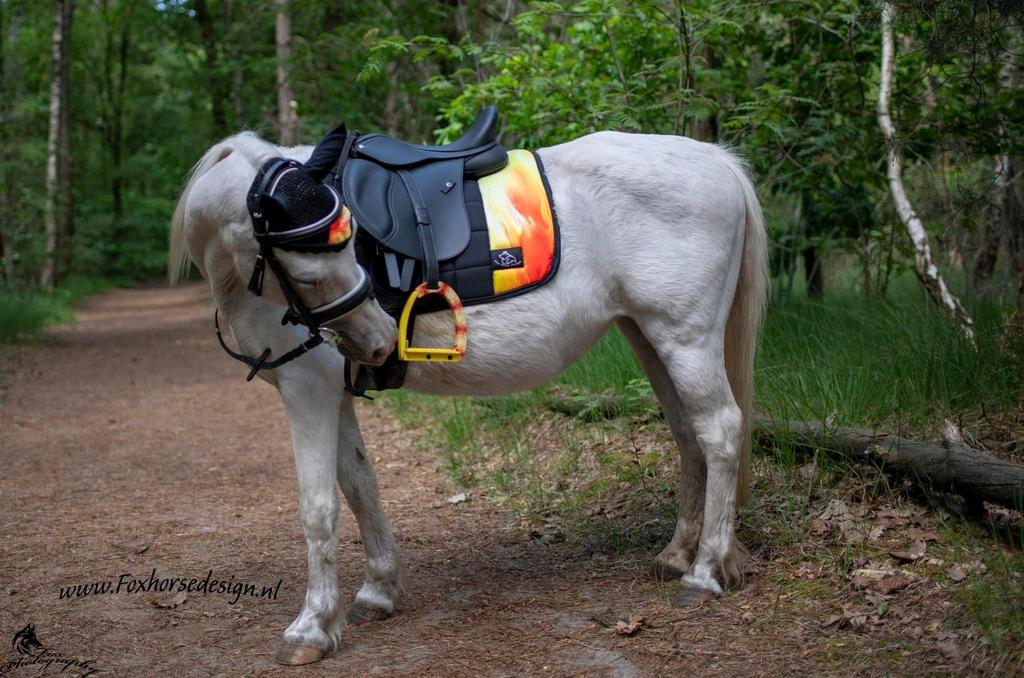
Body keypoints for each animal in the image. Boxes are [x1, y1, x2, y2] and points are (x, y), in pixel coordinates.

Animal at [169, 125, 768, 665]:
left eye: (343, 254)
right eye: (314, 271)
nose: (379, 340)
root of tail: (717, 161)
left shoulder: (307, 388)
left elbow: (319, 507)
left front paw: (312, 626)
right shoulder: (332, 392)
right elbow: (360, 486)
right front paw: (379, 590)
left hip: (685, 338)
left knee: (720, 431)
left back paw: (705, 572)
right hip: (648, 337)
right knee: (688, 435)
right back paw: (678, 553)